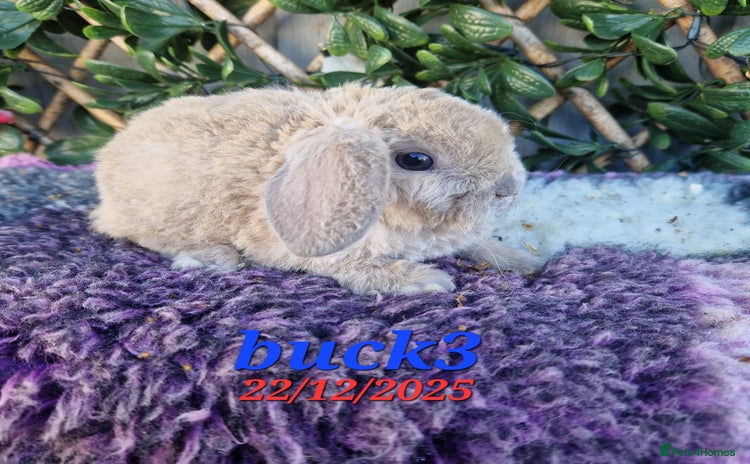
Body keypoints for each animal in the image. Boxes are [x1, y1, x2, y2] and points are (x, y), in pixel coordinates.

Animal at [91, 84, 542, 294]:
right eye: (416, 160)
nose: (508, 187)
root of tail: (108, 156)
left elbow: (478, 244)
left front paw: (523, 261)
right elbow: (363, 270)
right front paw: (427, 281)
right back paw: (213, 258)